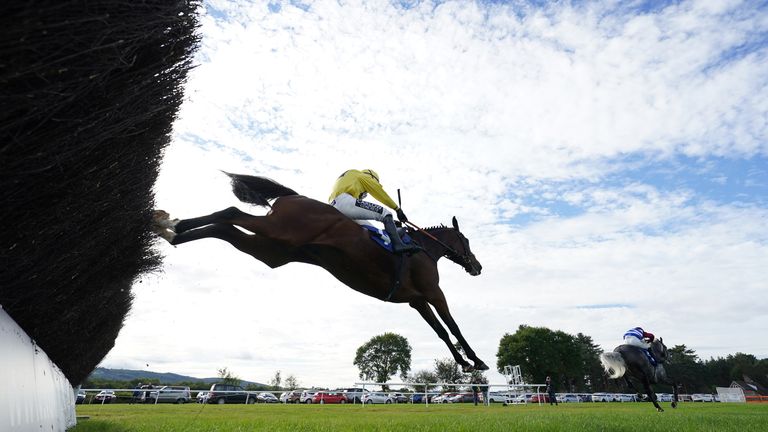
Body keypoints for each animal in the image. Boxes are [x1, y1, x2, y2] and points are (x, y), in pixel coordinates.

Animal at [151, 173, 488, 372]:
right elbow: (454, 326)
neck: (423, 248)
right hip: (279, 231)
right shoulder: (433, 293)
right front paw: (477, 360)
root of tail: (294, 196)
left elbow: (441, 331)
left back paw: (170, 230)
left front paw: (463, 362)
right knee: (231, 214)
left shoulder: (416, 300)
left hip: (271, 251)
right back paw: (171, 224)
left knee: (224, 228)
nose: (477, 266)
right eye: (467, 241)